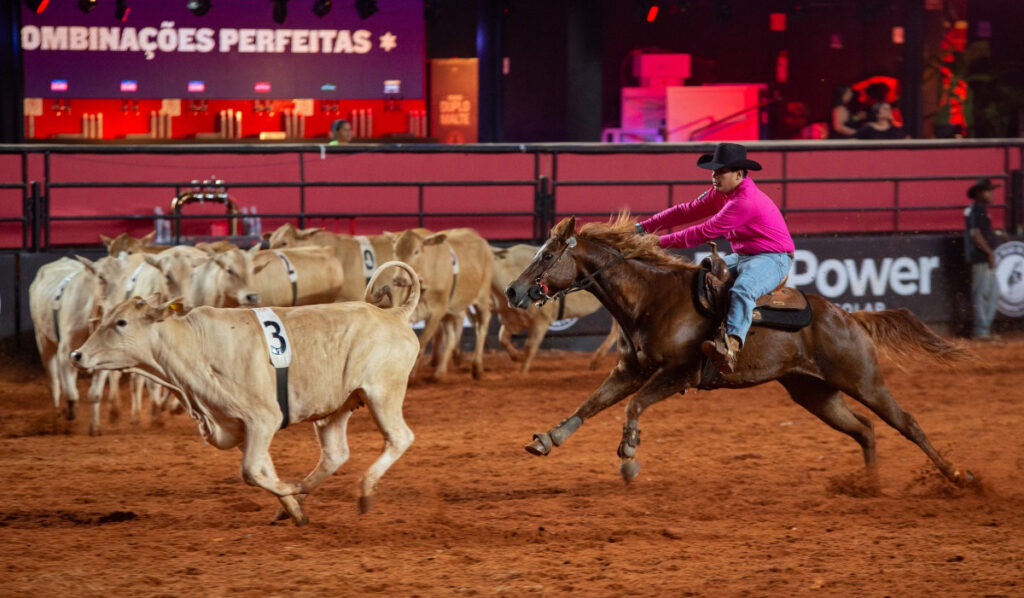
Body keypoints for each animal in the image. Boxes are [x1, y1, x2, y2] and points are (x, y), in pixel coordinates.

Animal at [72, 259, 421, 524]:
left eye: (121, 322)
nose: (77, 355)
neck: (194, 345)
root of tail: (395, 314)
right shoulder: (238, 426)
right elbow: (263, 468)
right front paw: (293, 506)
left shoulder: (263, 419)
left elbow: (251, 471)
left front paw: (290, 492)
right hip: (335, 407)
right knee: (335, 454)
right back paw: (303, 492)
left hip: (382, 392)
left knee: (399, 438)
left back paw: (364, 491)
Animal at [387, 227, 491, 378]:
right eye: (395, 251)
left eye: (416, 251)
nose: (400, 280)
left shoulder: (436, 313)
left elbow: (422, 344)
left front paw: (412, 377)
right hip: (451, 311)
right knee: (451, 337)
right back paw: (440, 372)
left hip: (482, 297)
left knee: (482, 325)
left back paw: (477, 367)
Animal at [491, 243, 618, 372]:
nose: (511, 291)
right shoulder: (514, 319)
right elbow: (503, 339)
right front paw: (517, 356)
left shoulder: (541, 321)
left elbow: (529, 347)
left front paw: (522, 371)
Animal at [505, 214, 974, 485]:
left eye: (547, 255)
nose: (512, 291)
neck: (650, 297)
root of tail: (849, 318)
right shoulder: (630, 369)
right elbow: (591, 403)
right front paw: (547, 439)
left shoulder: (679, 373)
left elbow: (633, 406)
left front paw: (629, 455)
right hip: (814, 392)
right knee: (864, 429)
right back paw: (870, 486)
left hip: (863, 380)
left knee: (906, 423)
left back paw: (959, 476)